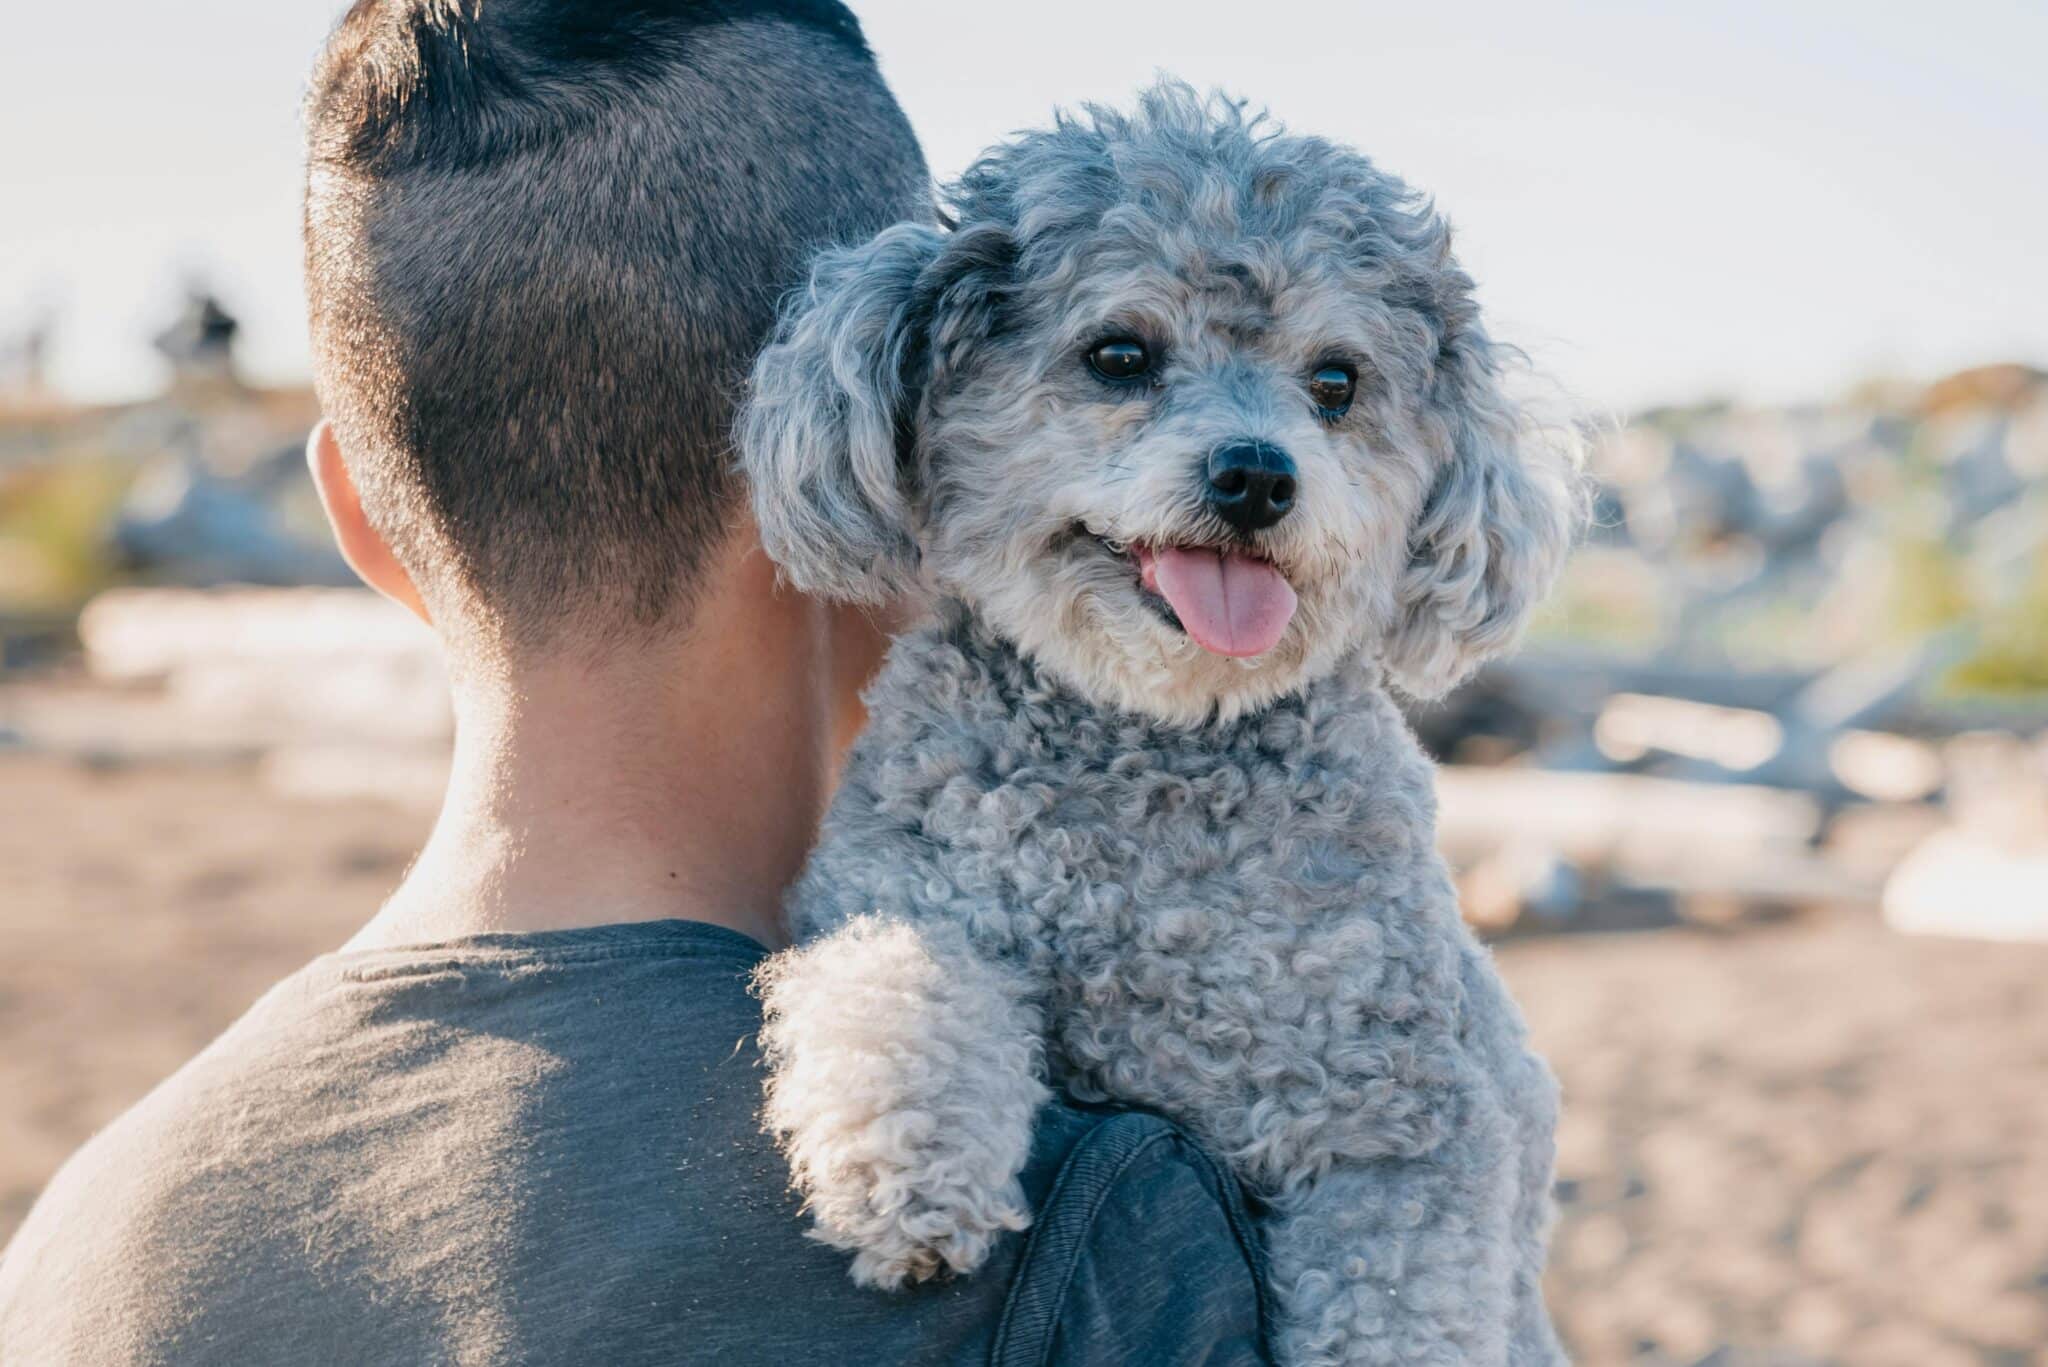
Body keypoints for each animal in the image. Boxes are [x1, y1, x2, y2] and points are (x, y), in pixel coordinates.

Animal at [741, 80, 1581, 1360]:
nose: (1256, 473)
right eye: (1119, 354)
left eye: (1335, 382)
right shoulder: (902, 879)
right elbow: (897, 978)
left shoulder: (1402, 1114)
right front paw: (907, 1176)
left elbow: (1396, 1296)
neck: (1157, 746)